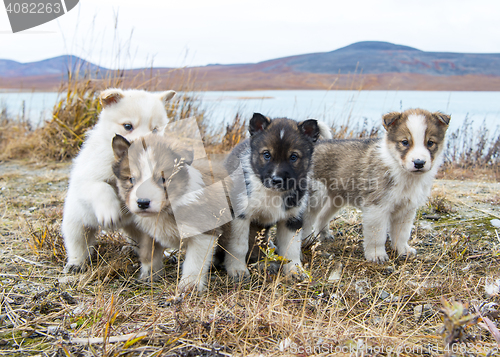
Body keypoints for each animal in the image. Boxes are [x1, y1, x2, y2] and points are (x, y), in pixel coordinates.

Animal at [112, 132, 224, 290]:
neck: (167, 210)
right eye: (131, 179)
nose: (142, 203)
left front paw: (189, 286)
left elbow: (194, 263)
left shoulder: (203, 233)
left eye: (163, 179)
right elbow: (148, 255)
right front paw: (149, 276)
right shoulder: (148, 233)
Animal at [302, 108, 452, 262]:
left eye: (430, 142)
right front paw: (377, 255)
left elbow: (402, 233)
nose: (419, 163)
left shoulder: (406, 209)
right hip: (316, 195)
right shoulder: (377, 208)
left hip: (336, 198)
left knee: (322, 216)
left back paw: (324, 235)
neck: (399, 170)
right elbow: (377, 235)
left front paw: (403, 250)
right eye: (404, 142)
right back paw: (305, 241)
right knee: (307, 220)